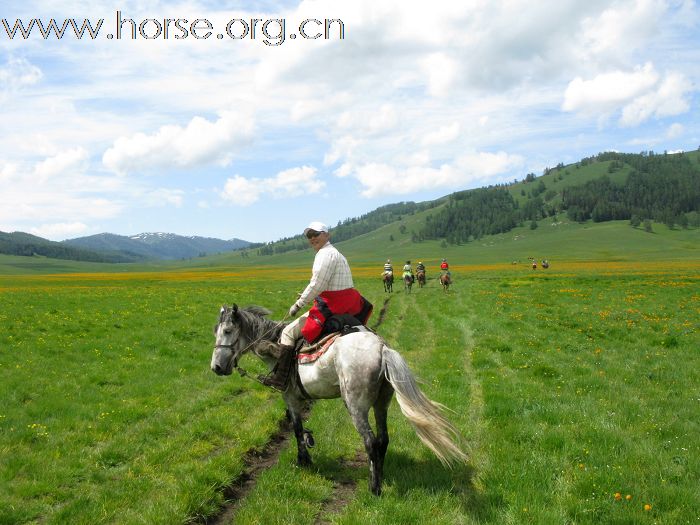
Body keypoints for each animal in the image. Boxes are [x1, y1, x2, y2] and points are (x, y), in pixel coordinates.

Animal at [211, 302, 468, 496]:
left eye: (227, 331)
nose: (216, 368)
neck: (274, 344)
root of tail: (382, 348)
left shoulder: (290, 397)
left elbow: (297, 428)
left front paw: (304, 461)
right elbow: (299, 428)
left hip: (356, 406)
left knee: (370, 441)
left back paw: (374, 488)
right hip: (381, 403)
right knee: (383, 439)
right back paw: (380, 476)